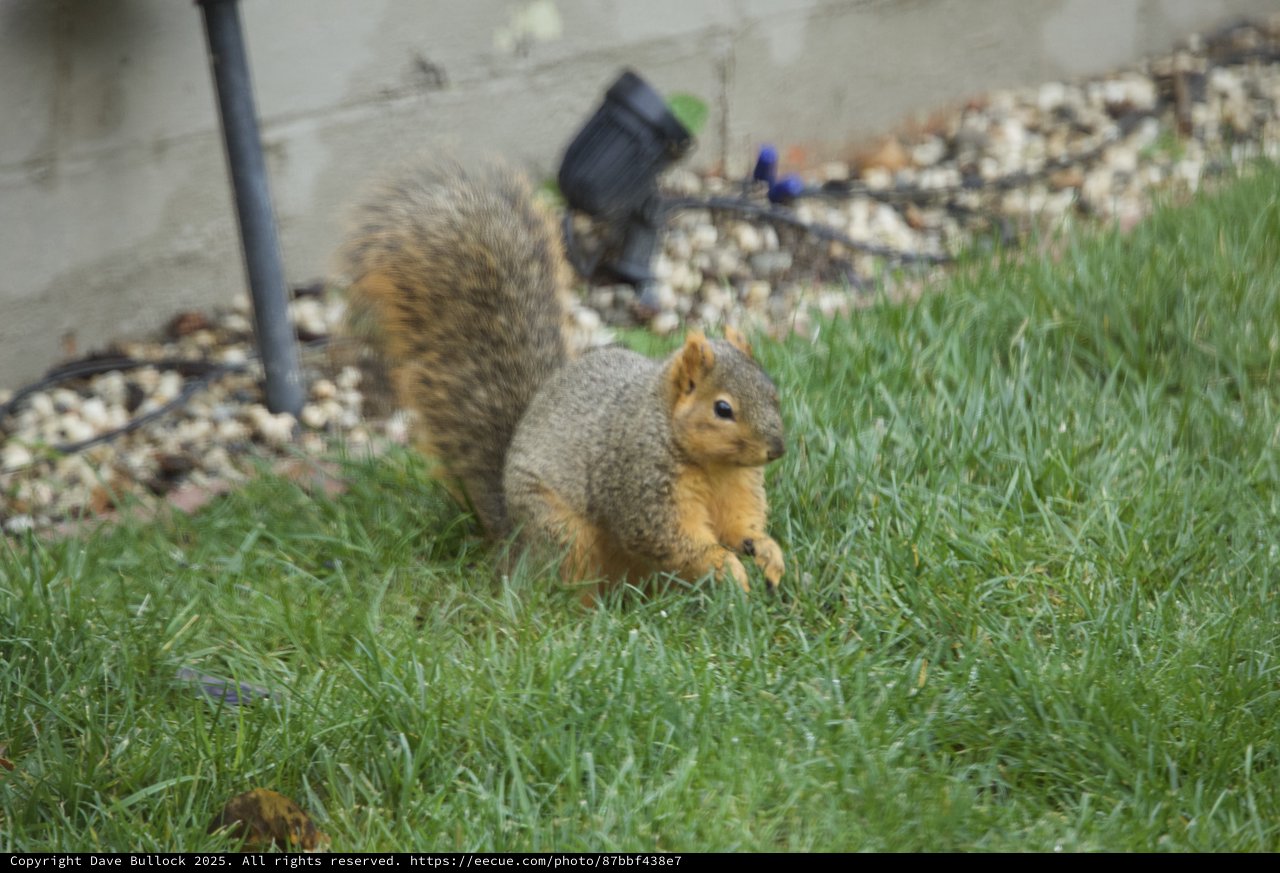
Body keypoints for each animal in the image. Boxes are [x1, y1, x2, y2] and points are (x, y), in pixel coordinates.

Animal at [339, 156, 786, 595]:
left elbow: (740, 524)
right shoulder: (639, 482)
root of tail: (514, 545)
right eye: (723, 409)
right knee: (565, 580)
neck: (710, 463)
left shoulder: (736, 487)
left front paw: (766, 552)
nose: (777, 449)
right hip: (562, 532)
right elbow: (666, 538)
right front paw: (726, 567)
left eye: (773, 393)